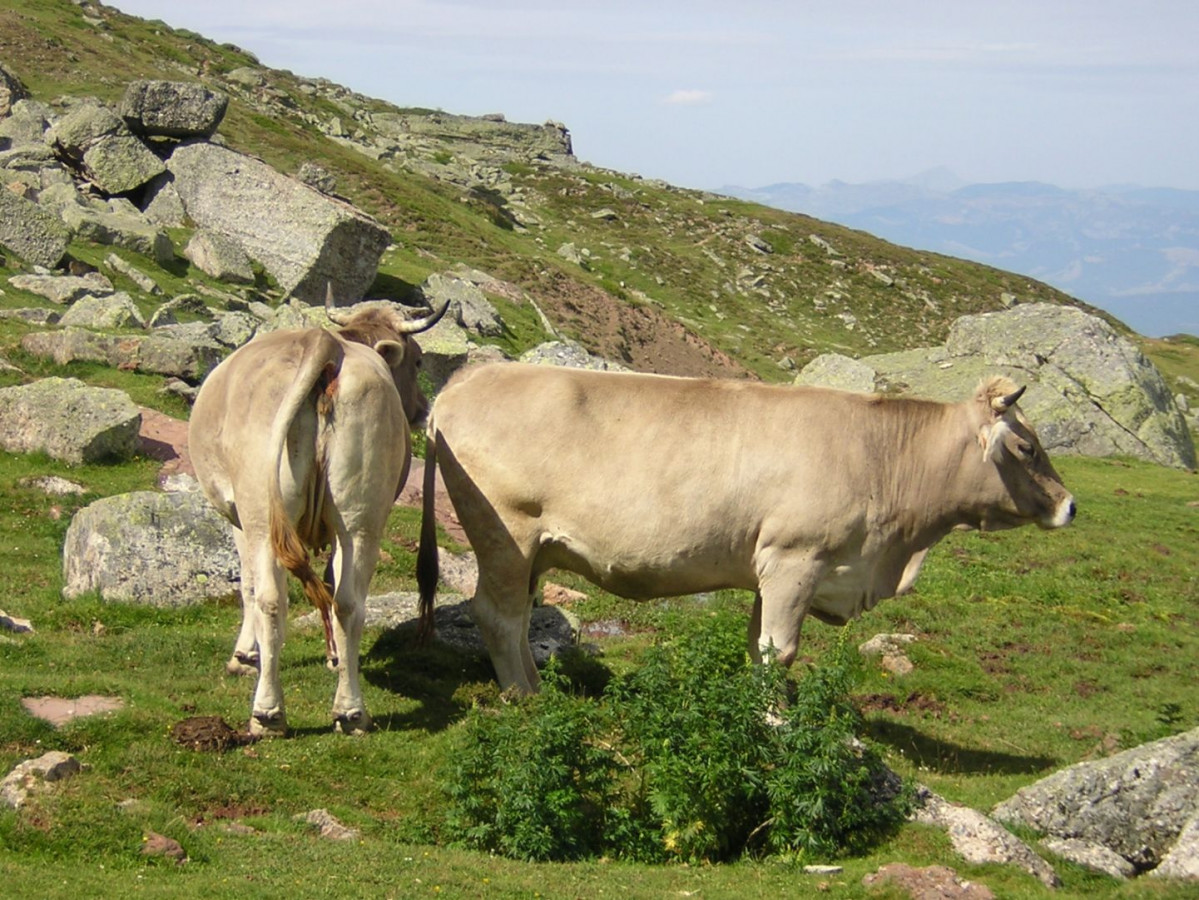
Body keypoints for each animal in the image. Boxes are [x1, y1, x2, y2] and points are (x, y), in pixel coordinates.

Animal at [191, 299, 446, 733]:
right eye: (416, 361)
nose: (420, 408)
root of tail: (325, 344)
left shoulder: (239, 519)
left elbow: (247, 587)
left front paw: (244, 656)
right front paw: (332, 657)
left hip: (261, 516)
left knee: (270, 598)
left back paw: (268, 712)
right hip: (359, 519)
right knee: (346, 602)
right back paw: (348, 711)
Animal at [419, 361, 1079, 695]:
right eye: (1027, 446)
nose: (1070, 506)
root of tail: (471, 376)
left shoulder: (773, 569)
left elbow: (756, 646)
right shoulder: (796, 558)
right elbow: (779, 650)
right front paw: (774, 722)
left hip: (533, 550)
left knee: (516, 617)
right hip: (506, 535)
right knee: (498, 616)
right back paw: (524, 697)